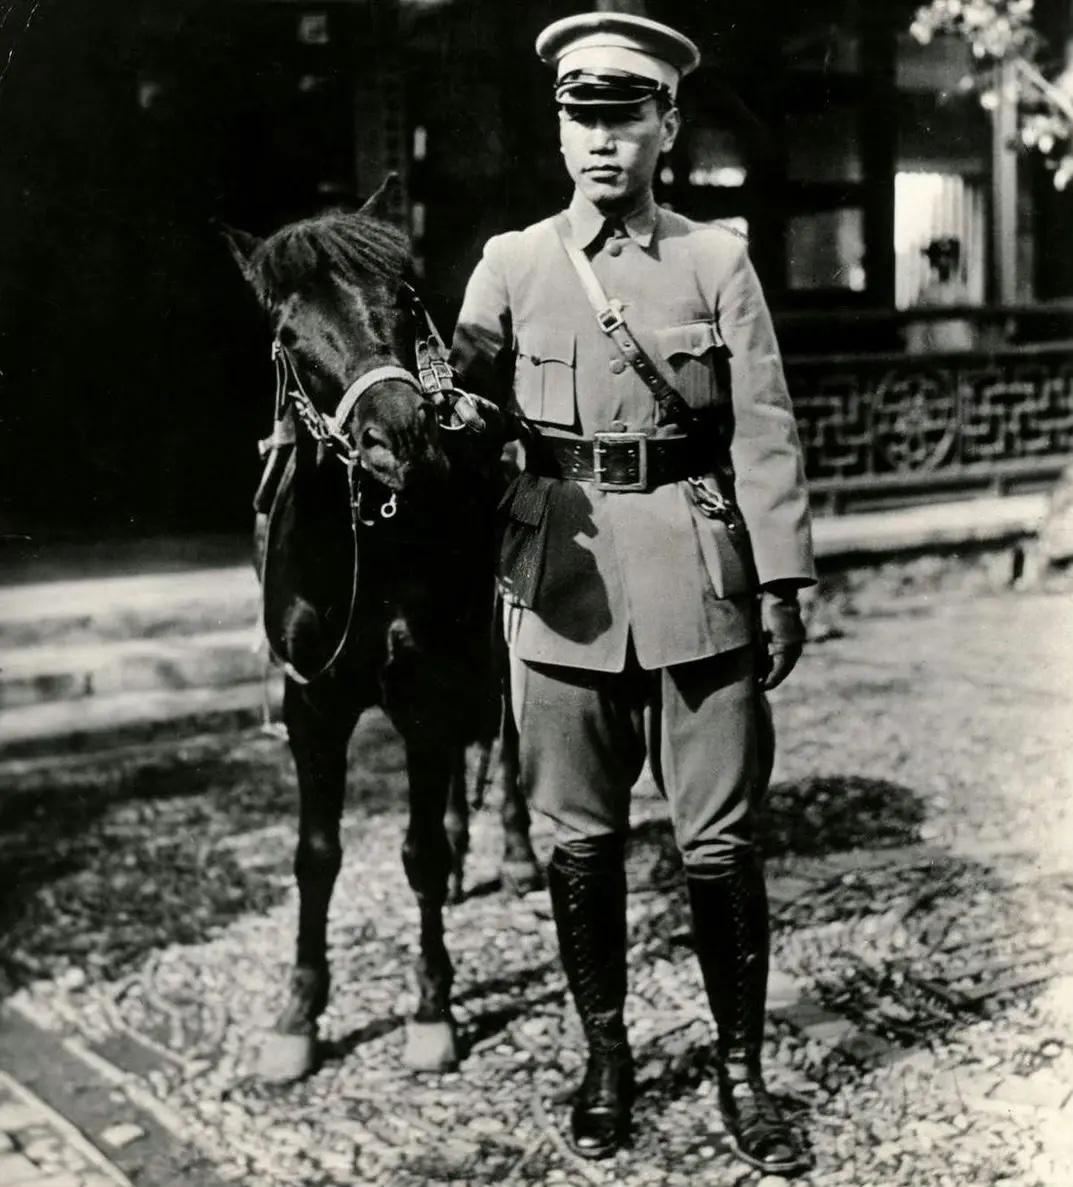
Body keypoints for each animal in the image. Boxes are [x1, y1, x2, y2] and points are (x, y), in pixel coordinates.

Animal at [223, 175, 539, 1082]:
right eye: (289, 335)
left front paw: (432, 1008)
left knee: (506, 739)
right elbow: (316, 855)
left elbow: (417, 852)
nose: (399, 439)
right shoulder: (312, 704)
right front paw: (298, 1014)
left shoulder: (421, 690)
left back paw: (514, 853)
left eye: (401, 302)